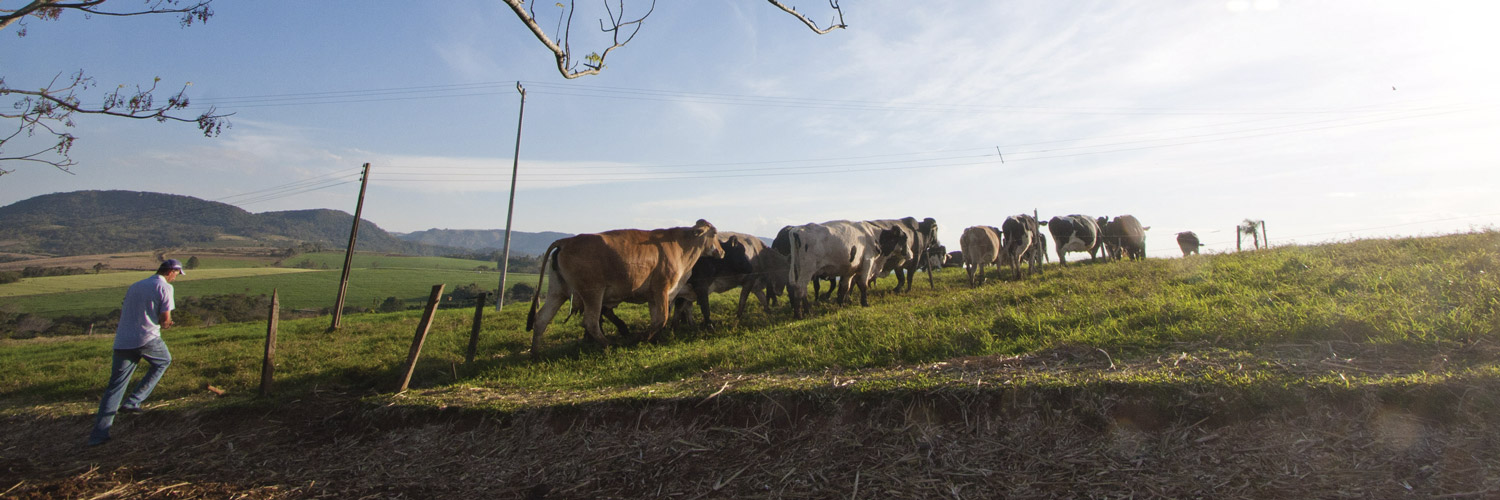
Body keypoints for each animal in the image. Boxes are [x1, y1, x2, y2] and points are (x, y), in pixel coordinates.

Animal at [525, 220, 723, 355]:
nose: (722, 252)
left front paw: (653, 338)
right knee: (591, 322)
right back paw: (608, 345)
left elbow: (657, 319)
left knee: (541, 319)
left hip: (557, 292)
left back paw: (535, 353)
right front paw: (641, 338)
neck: (680, 247)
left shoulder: (653, 296)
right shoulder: (662, 289)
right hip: (593, 293)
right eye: (714, 232)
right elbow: (662, 318)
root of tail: (566, 241)